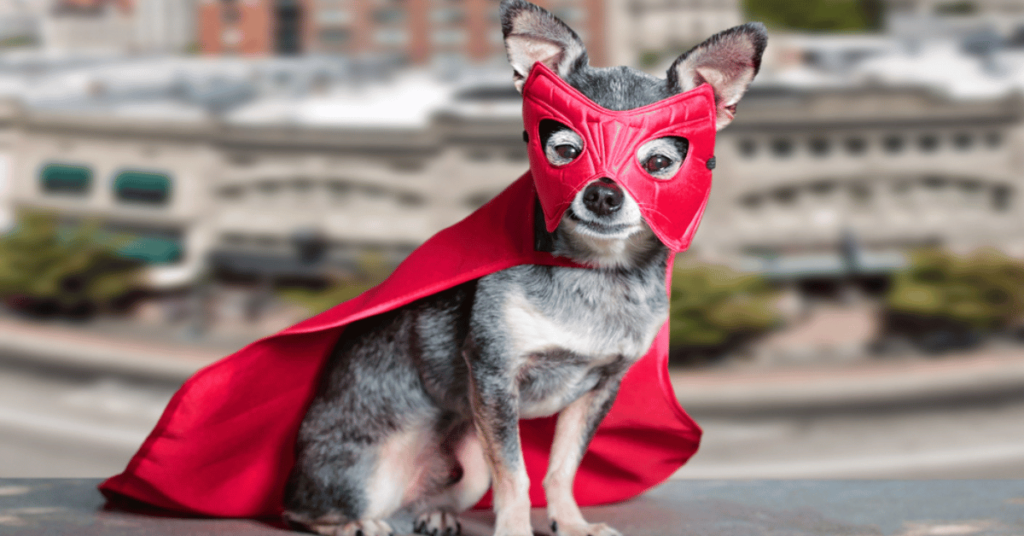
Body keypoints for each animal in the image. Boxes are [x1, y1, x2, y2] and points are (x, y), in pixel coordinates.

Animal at [284, 2, 765, 532]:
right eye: (566, 151)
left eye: (658, 164)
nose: (602, 193)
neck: (597, 274)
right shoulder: (495, 376)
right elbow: (515, 474)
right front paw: (516, 528)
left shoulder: (597, 390)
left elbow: (561, 467)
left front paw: (570, 522)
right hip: (372, 469)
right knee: (302, 507)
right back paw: (353, 522)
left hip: (467, 463)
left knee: (427, 499)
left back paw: (433, 513)